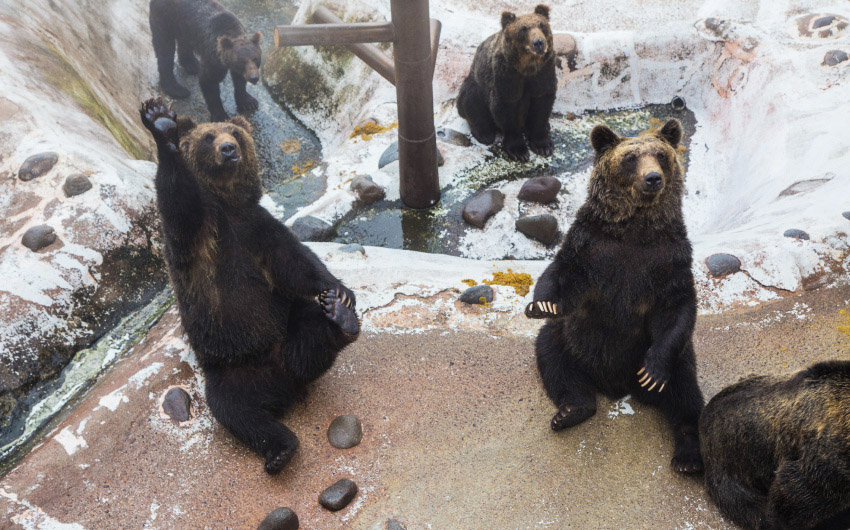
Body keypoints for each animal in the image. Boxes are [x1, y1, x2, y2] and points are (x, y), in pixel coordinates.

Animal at [139, 97, 359, 474]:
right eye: (208, 136)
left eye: (236, 133)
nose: (228, 149)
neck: (227, 205)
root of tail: (282, 384)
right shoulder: (198, 237)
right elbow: (178, 202)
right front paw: (161, 122)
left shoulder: (258, 227)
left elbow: (295, 261)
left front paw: (342, 292)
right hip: (230, 368)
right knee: (238, 412)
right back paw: (279, 450)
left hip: (288, 326)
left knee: (311, 334)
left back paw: (340, 318)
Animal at [456, 5, 557, 163]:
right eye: (523, 29)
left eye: (542, 25)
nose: (539, 43)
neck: (527, 67)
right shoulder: (506, 74)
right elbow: (506, 107)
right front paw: (518, 150)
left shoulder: (544, 71)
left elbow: (542, 103)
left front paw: (543, 145)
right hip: (475, 84)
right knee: (470, 101)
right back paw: (484, 133)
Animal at [525, 118, 705, 474]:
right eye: (630, 158)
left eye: (660, 155)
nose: (653, 178)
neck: (634, 230)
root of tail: (617, 387)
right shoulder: (590, 246)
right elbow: (561, 273)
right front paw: (542, 304)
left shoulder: (670, 258)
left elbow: (677, 306)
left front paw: (652, 372)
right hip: (573, 341)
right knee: (554, 357)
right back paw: (571, 411)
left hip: (677, 357)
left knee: (685, 393)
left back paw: (688, 457)